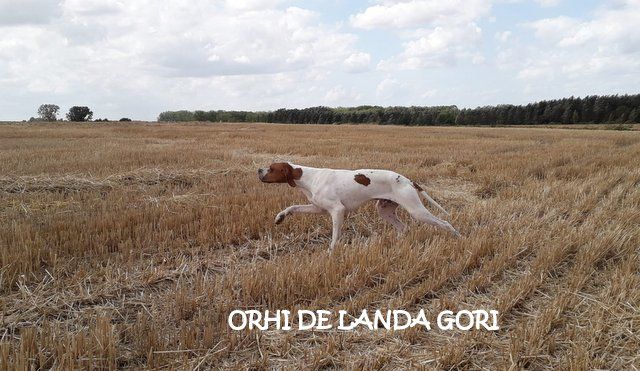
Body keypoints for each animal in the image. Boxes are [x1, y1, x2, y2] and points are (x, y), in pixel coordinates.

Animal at [258, 163, 462, 250]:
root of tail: (408, 180)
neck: (309, 177)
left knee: (444, 223)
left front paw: (331, 252)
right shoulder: (318, 208)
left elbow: (335, 236)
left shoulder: (337, 211)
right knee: (403, 228)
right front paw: (280, 217)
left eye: (271, 168)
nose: (258, 170)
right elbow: (293, 207)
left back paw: (458, 237)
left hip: (416, 211)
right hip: (384, 210)